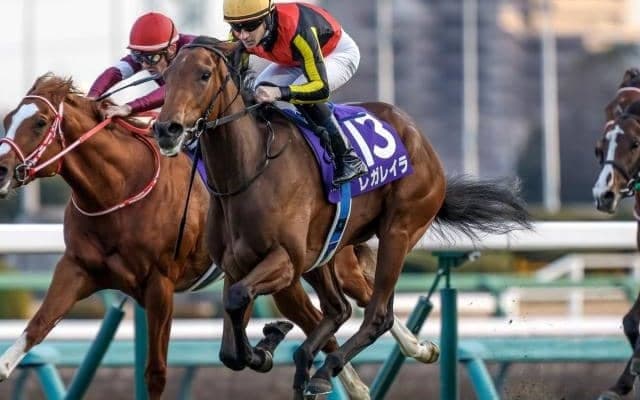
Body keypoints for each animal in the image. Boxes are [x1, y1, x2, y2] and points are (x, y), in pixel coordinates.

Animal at [0, 73, 436, 400]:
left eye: (39, 122)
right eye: (7, 120)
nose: (2, 171)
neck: (120, 188)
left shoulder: (159, 285)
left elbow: (156, 371)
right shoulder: (76, 269)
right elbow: (36, 327)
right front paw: (5, 366)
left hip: (318, 264)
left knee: (359, 299)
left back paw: (409, 351)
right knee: (327, 314)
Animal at [152, 36, 532, 397]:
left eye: (204, 75)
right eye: (166, 77)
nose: (167, 129)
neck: (248, 171)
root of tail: (417, 135)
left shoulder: (285, 260)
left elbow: (237, 301)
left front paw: (270, 345)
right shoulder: (237, 265)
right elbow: (230, 345)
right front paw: (268, 344)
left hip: (399, 230)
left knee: (377, 315)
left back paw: (325, 370)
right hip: (326, 251)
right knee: (339, 309)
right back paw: (310, 360)